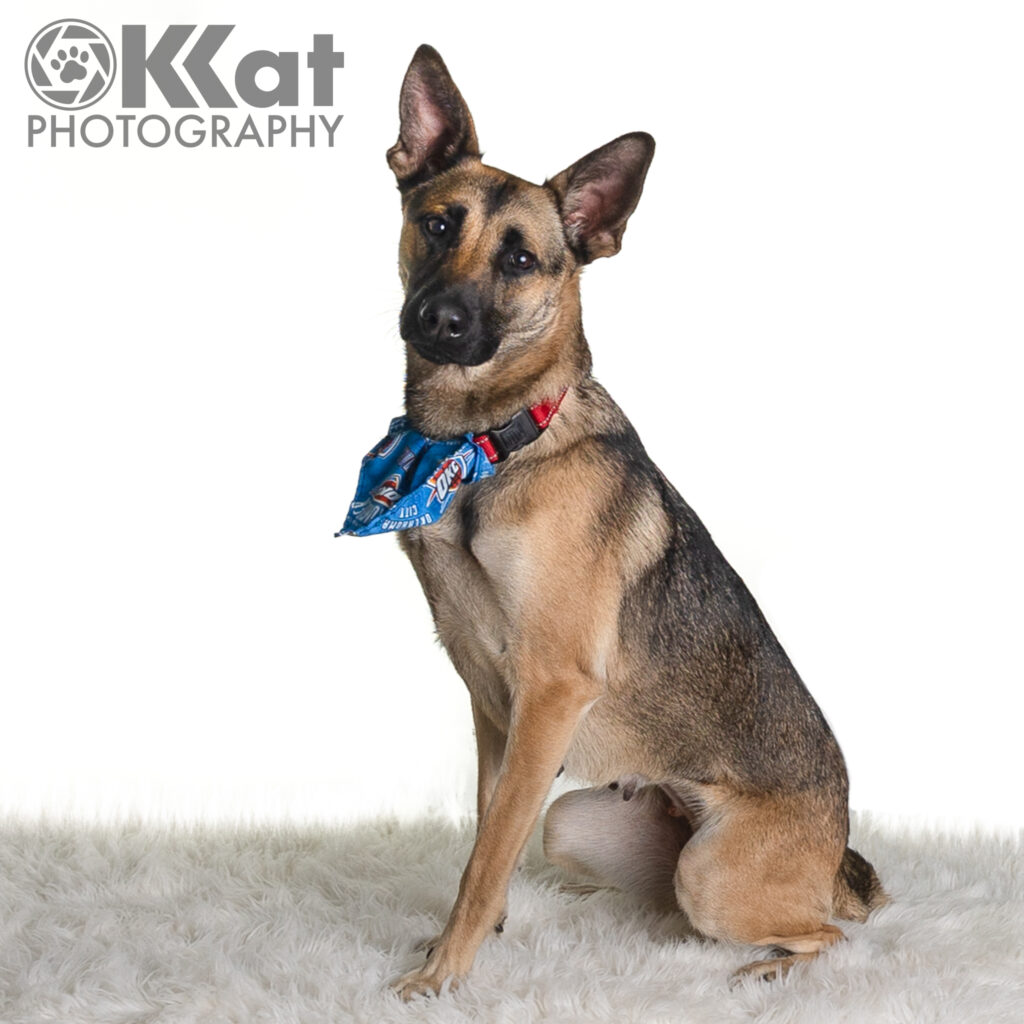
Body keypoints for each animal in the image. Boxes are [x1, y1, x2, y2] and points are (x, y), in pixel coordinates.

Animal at [380, 44, 884, 995]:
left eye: (521, 259)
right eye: (437, 224)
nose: (438, 320)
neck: (487, 447)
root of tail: (837, 854)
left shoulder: (547, 695)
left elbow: (484, 856)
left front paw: (438, 978)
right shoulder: (494, 708)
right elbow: (486, 837)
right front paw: (462, 945)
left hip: (712, 871)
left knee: (831, 934)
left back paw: (763, 974)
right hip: (579, 823)